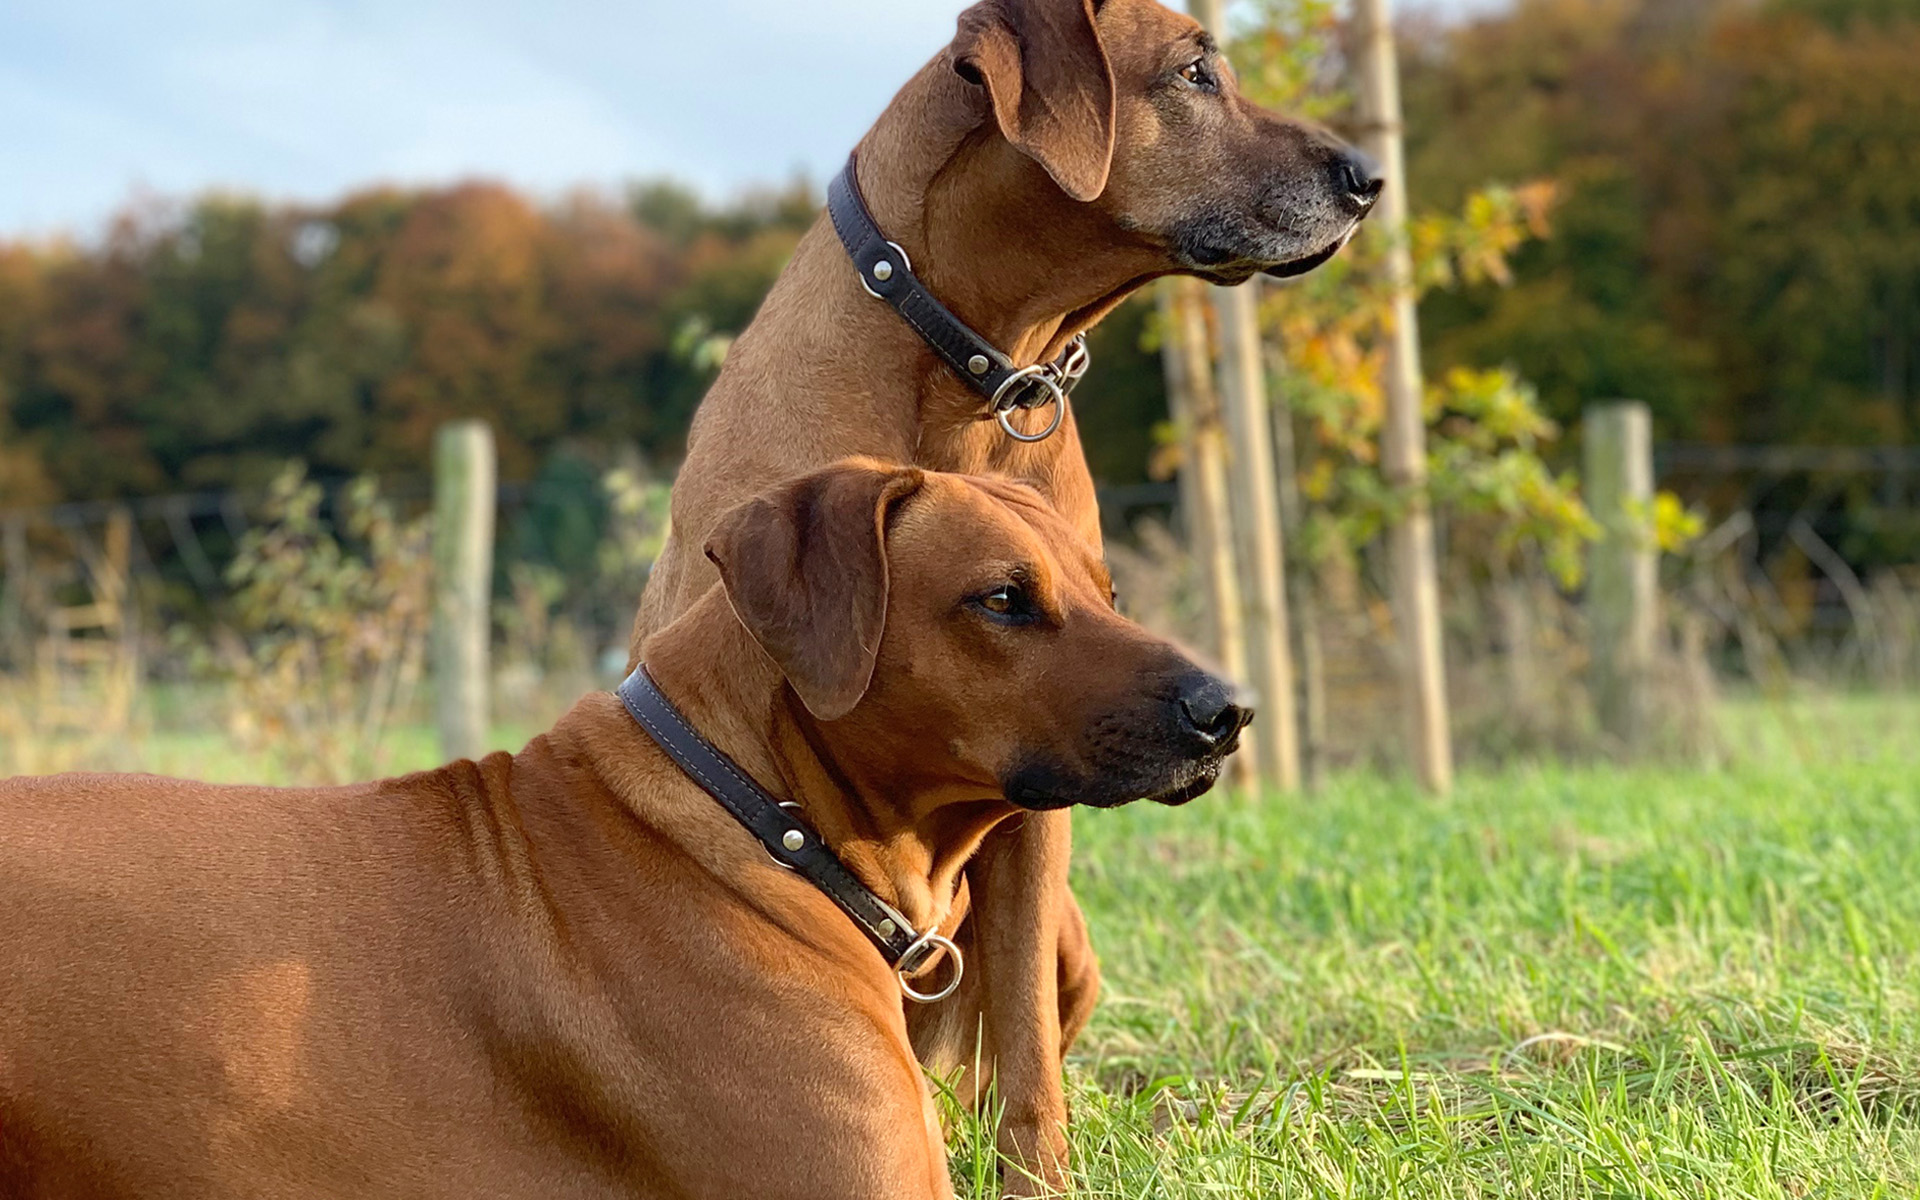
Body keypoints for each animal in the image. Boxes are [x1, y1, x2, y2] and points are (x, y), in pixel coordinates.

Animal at [625, 0, 1378, 1184]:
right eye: (1196, 72)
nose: (1371, 177)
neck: (969, 384)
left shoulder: (1040, 802)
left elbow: (1024, 1044)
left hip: (1069, 933)